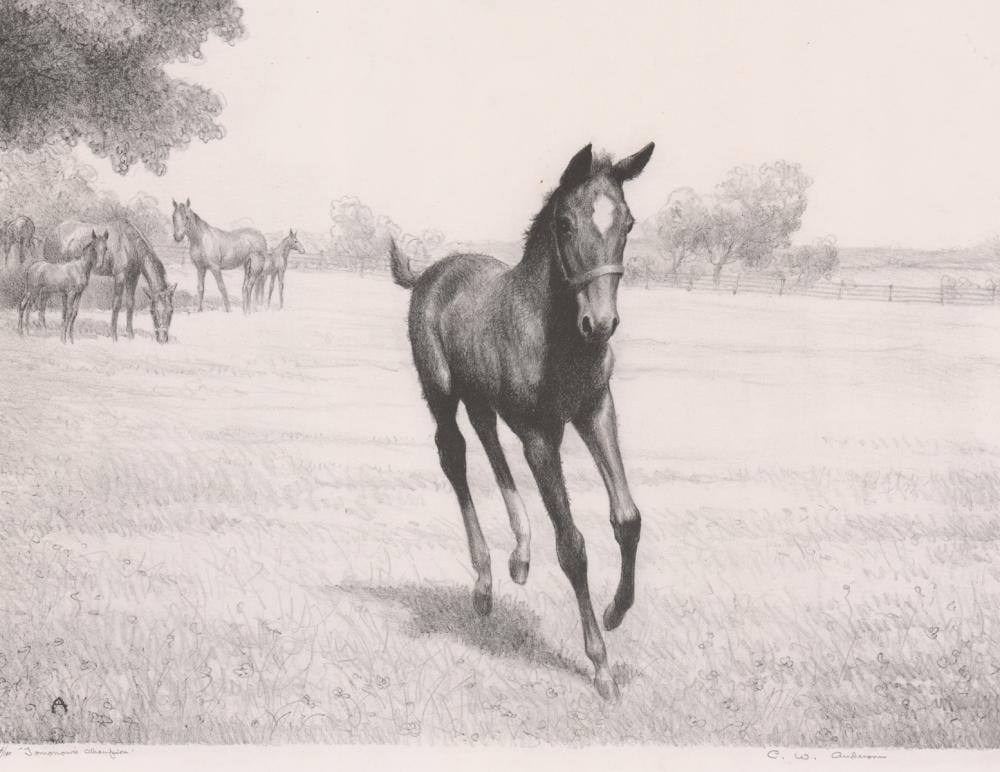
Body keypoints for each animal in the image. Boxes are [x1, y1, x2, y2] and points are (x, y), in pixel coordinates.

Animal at [44, 220, 177, 344]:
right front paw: (114, 336)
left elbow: (130, 304)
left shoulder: (133, 278)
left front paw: (130, 335)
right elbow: (116, 304)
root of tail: (51, 233)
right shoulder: (120, 276)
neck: (130, 243)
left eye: (171, 311)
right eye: (153, 311)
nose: (162, 339)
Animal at [390, 142, 655, 700]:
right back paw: (484, 583)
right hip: (441, 392)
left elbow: (626, 517)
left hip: (483, 398)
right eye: (566, 223)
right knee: (455, 456)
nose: (601, 325)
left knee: (489, 444)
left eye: (628, 222)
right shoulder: (539, 435)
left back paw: (520, 555)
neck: (554, 329)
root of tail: (429, 274)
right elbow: (573, 545)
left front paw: (616, 612)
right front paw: (600, 665)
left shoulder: (596, 410)